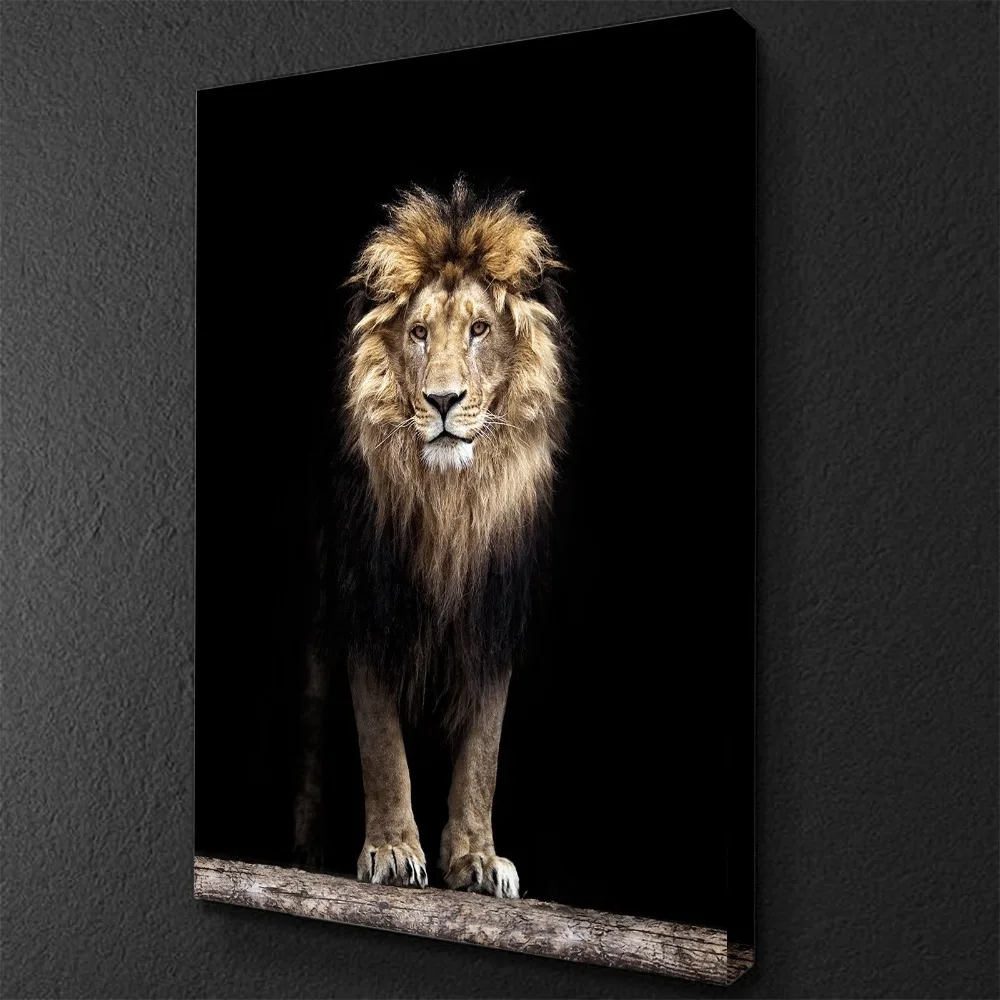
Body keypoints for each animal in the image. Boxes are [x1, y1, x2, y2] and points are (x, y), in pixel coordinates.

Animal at [294, 178, 571, 899]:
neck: (451, 502)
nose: (443, 401)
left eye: (478, 329)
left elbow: (483, 754)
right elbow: (382, 746)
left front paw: (476, 859)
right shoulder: (367, 603)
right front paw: (393, 850)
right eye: (419, 333)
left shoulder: (493, 617)